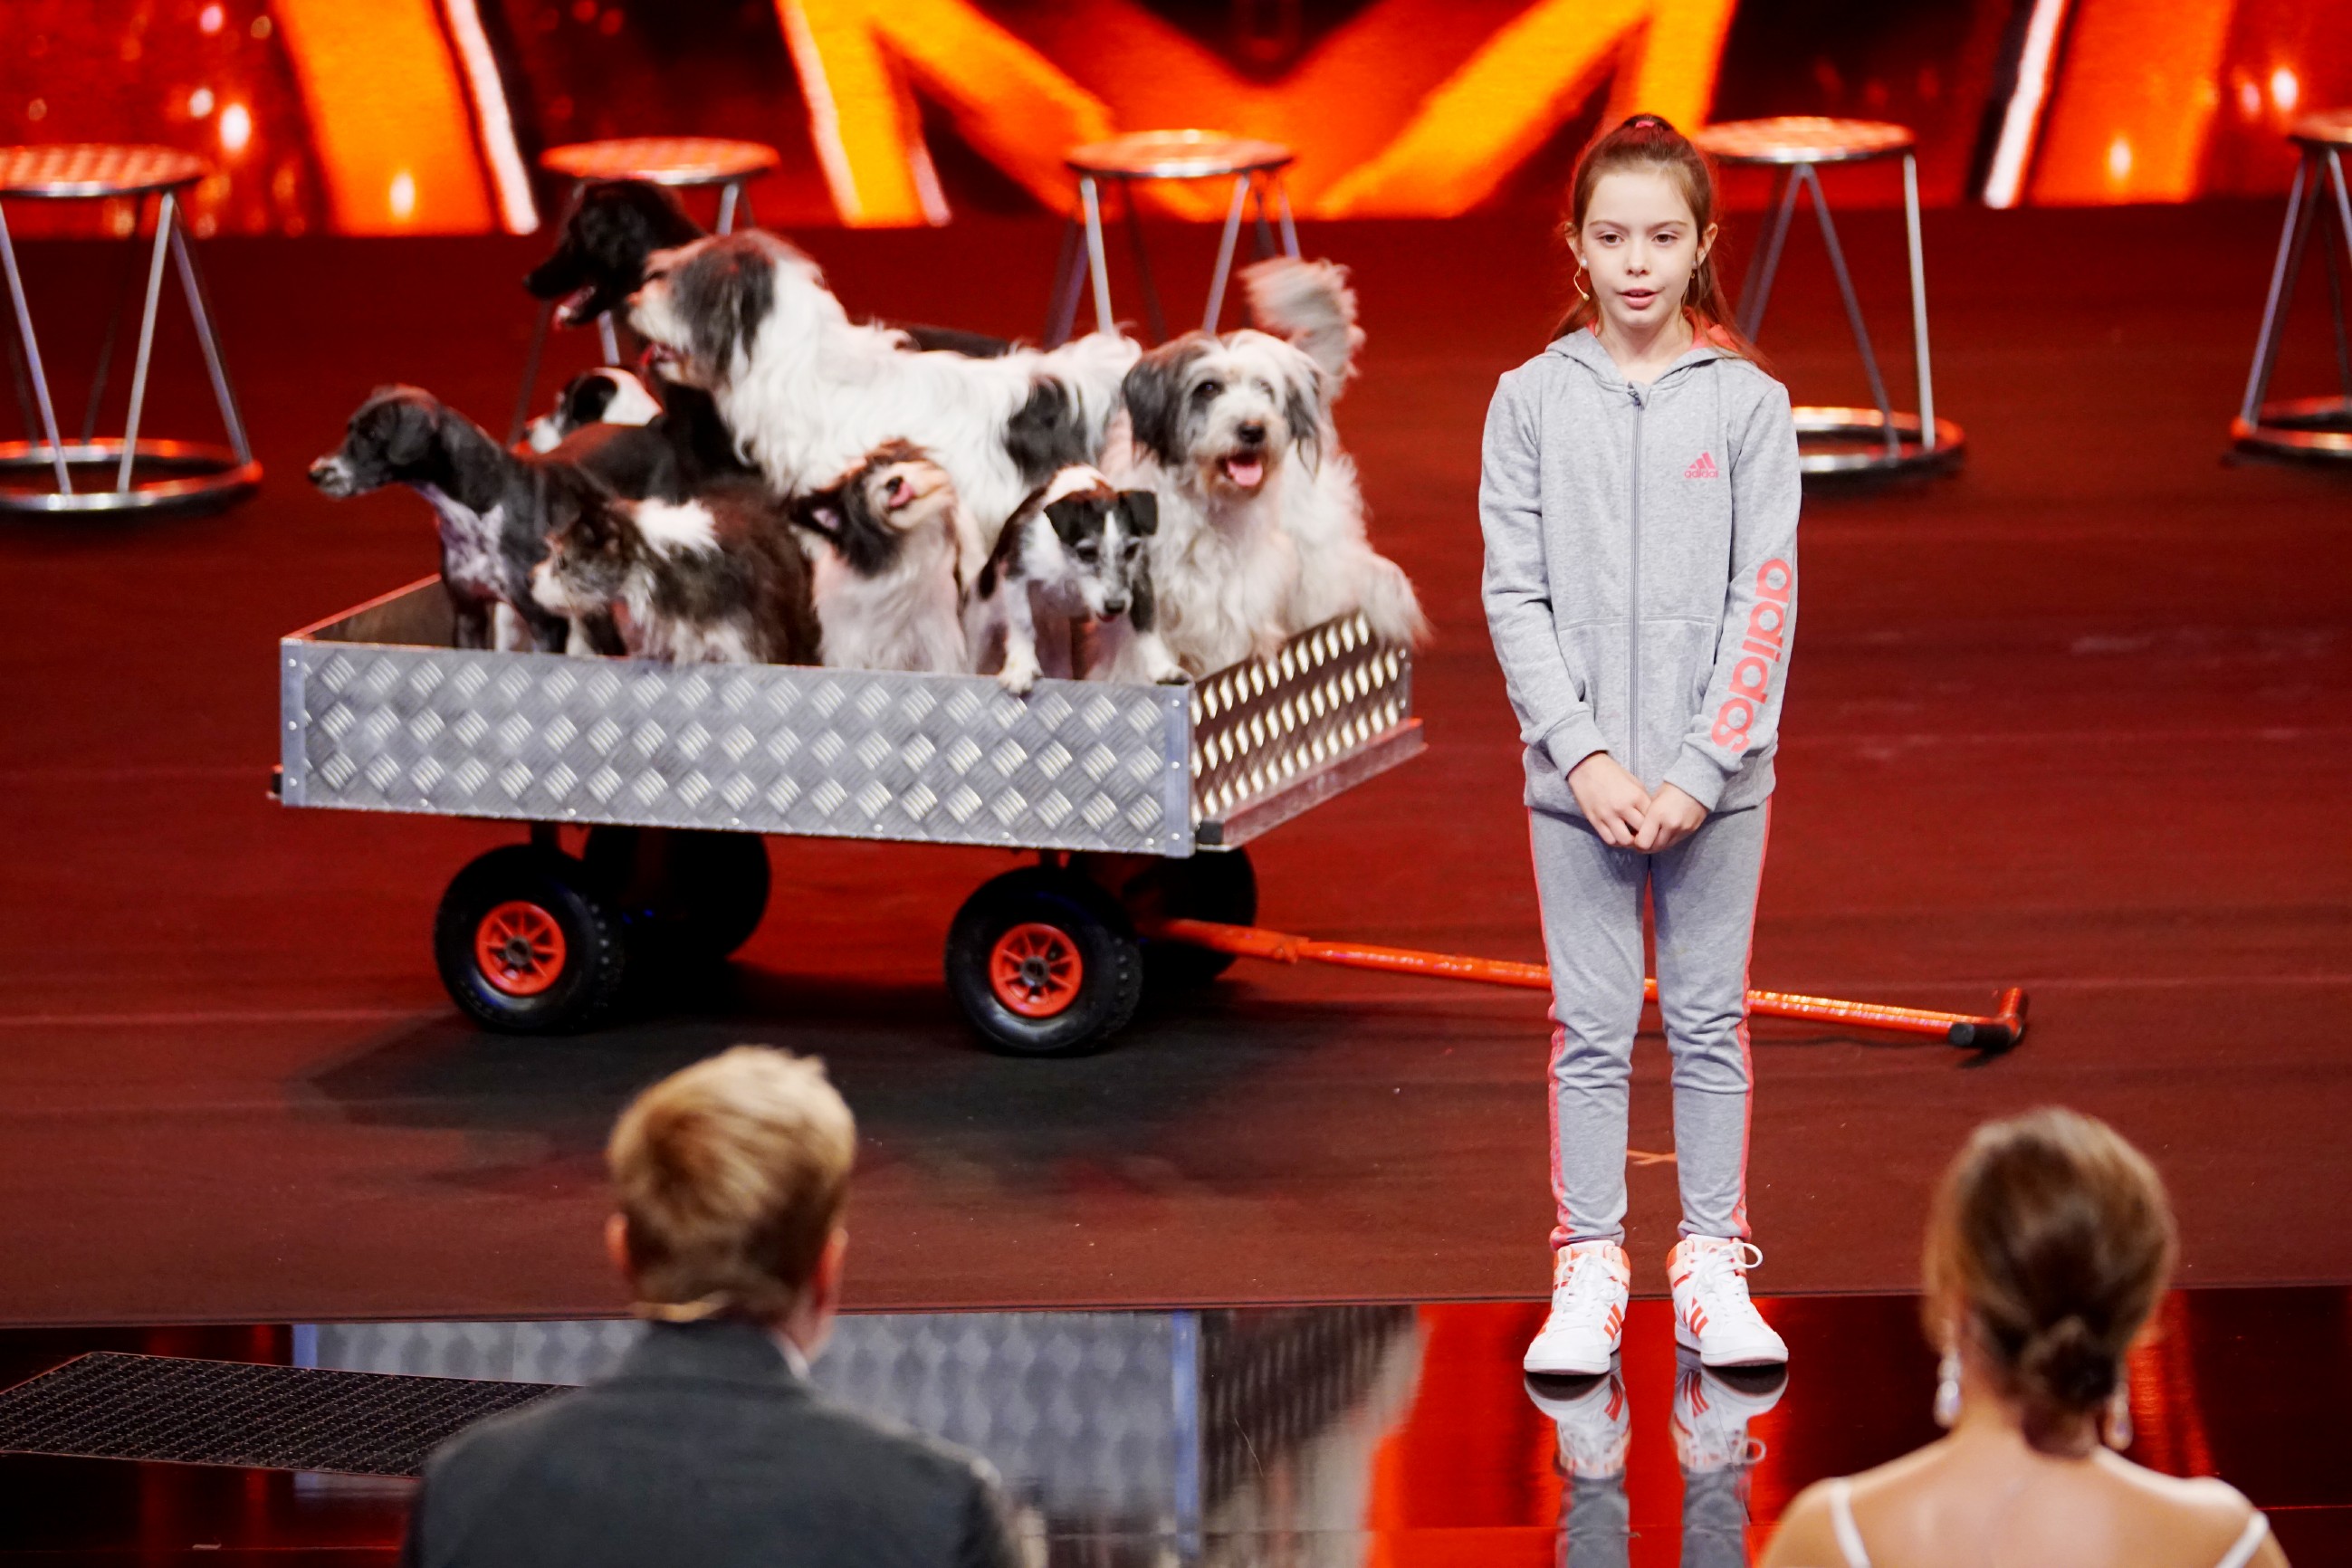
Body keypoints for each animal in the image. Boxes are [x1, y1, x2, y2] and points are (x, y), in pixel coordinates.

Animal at [312, 387, 626, 658]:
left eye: (372, 434)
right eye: (350, 429)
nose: (314, 473)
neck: (482, 510)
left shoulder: (546, 624)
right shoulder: (468, 615)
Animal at [789, 442, 973, 676]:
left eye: (890, 462)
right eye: (861, 488)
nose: (894, 481)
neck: (900, 554)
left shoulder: (937, 635)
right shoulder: (848, 643)